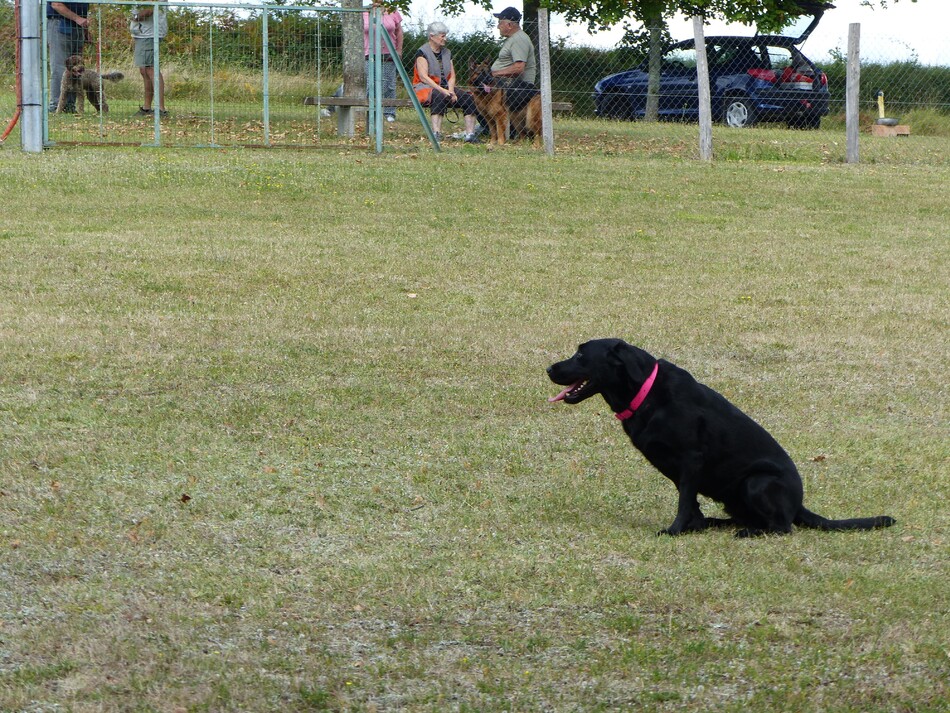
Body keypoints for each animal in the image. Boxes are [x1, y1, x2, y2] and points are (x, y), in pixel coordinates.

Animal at [548, 338, 896, 536]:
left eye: (580, 355)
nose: (549, 369)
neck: (645, 393)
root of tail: (798, 506)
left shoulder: (691, 458)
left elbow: (684, 501)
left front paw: (676, 531)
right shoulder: (678, 468)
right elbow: (689, 501)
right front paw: (695, 527)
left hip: (756, 482)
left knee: (783, 528)